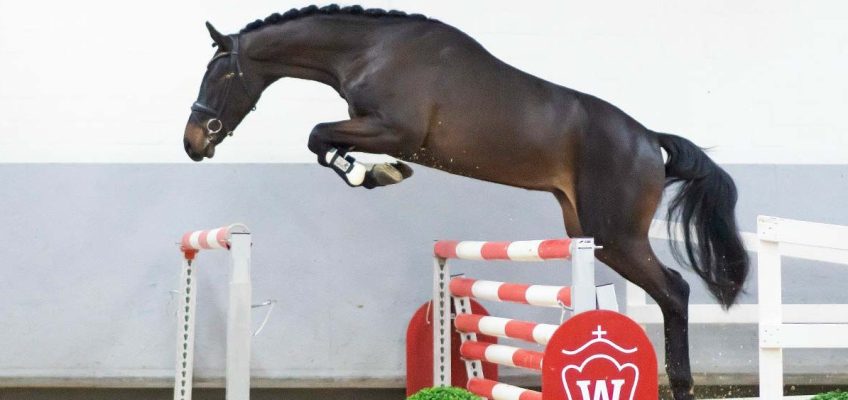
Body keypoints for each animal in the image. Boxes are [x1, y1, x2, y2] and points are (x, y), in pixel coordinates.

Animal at [182, 4, 744, 398]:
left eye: (220, 75)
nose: (193, 143)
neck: (370, 50)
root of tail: (649, 139)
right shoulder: (377, 129)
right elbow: (322, 141)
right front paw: (376, 172)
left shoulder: (395, 130)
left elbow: (318, 135)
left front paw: (372, 173)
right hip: (589, 232)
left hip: (616, 235)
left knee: (674, 291)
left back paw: (683, 384)